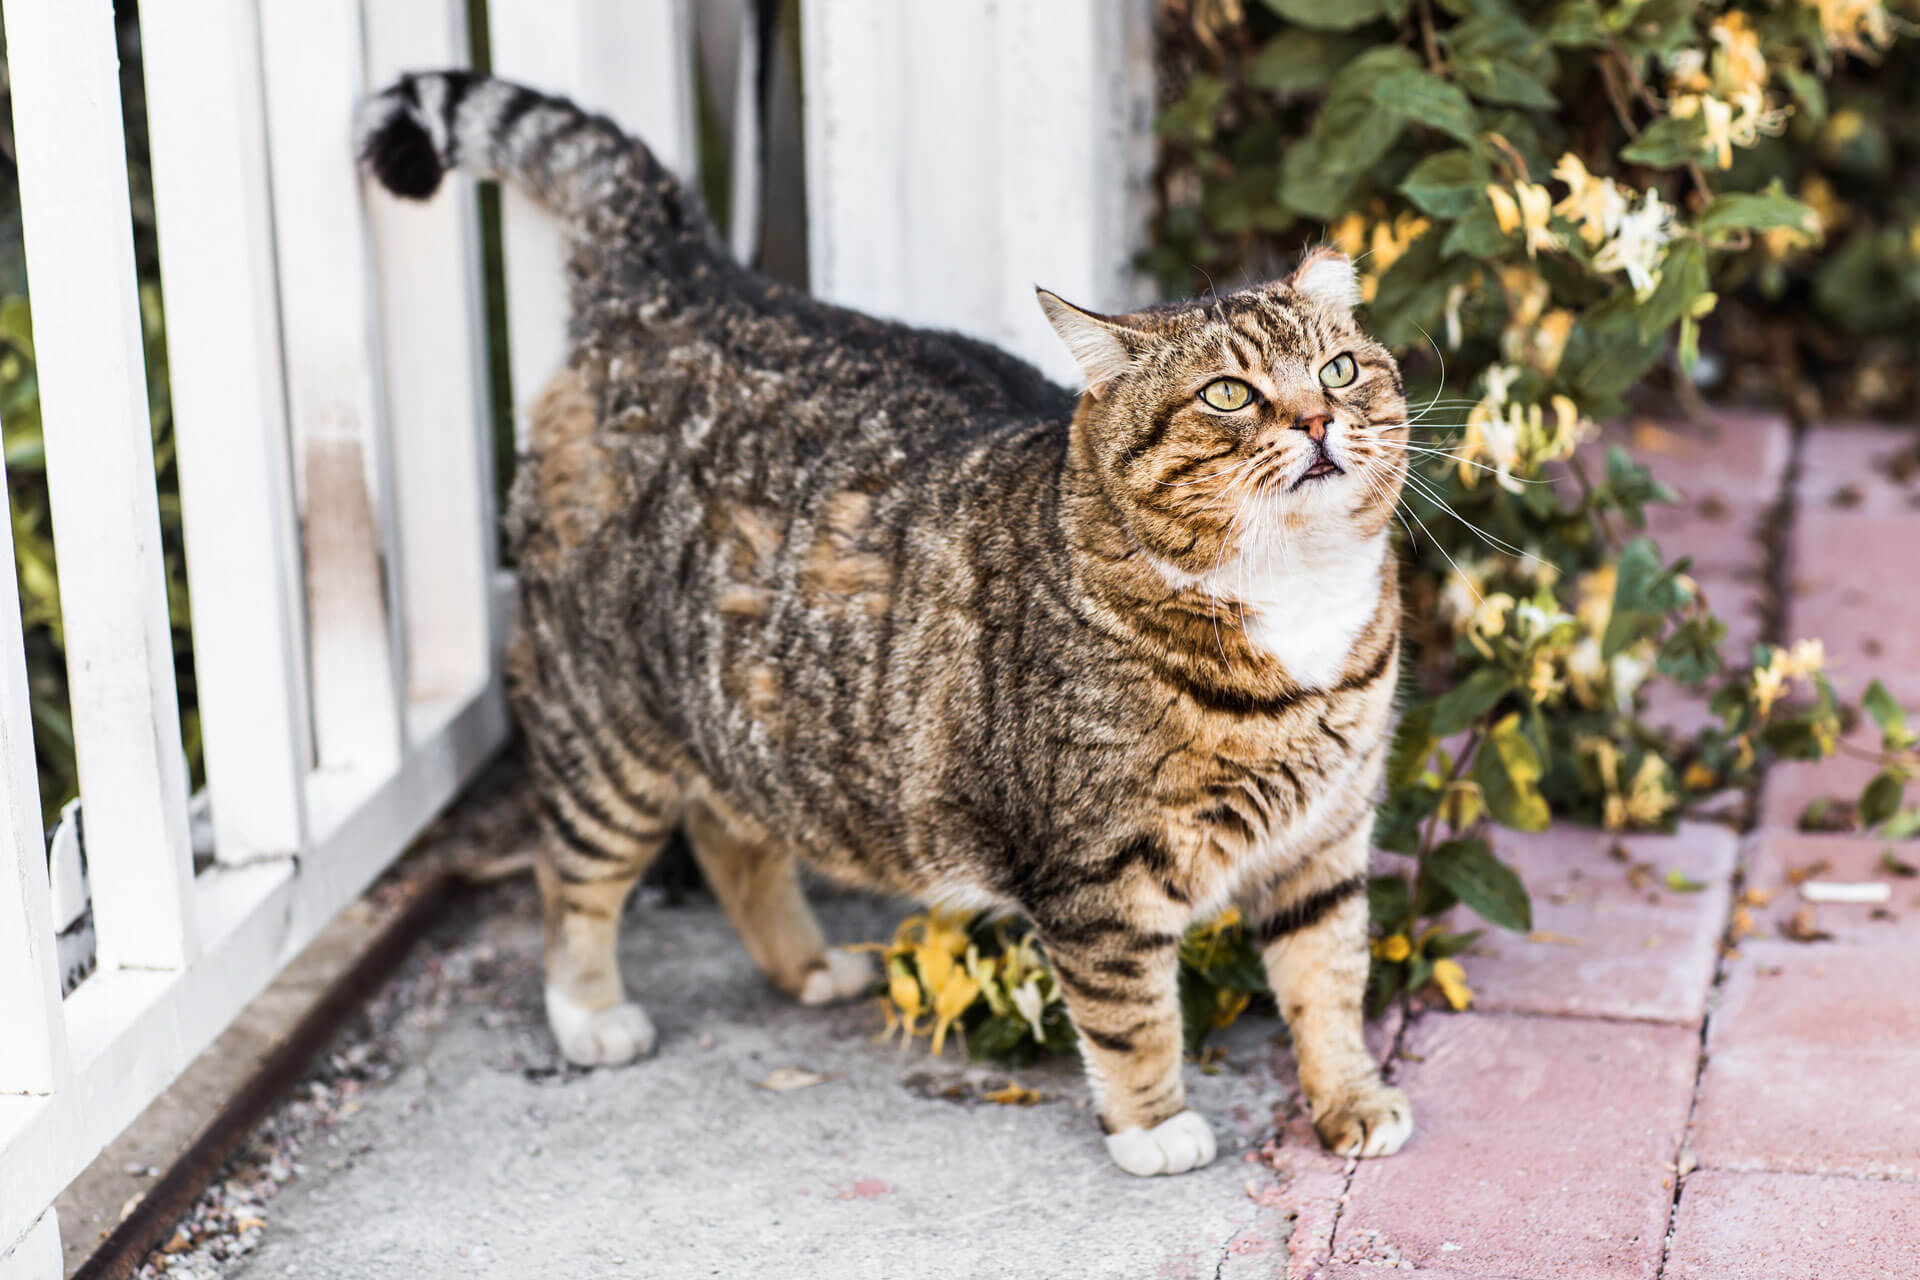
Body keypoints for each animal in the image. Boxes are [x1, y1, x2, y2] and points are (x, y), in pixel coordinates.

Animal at [360, 75, 1413, 1182]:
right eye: (1228, 394)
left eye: (1340, 371)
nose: (1318, 422)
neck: (1293, 599)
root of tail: (685, 284)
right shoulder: (1099, 873)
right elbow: (1131, 1011)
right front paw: (1153, 1126)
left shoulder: (1328, 837)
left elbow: (1328, 978)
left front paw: (1349, 1099)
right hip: (604, 721)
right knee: (572, 870)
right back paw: (590, 1012)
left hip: (754, 710)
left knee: (731, 829)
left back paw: (808, 963)